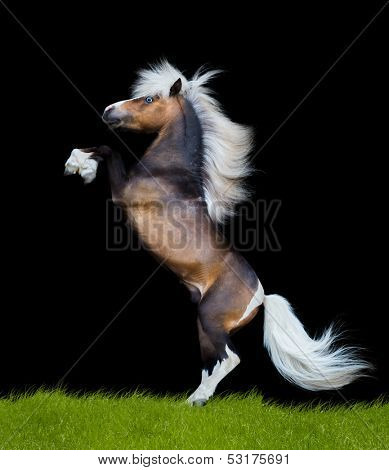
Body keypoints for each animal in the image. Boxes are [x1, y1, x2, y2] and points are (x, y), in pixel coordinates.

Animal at [66, 61, 370, 408]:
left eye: (149, 99)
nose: (108, 111)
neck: (168, 173)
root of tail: (261, 297)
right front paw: (81, 166)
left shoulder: (123, 193)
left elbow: (108, 149)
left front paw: (77, 166)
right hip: (204, 324)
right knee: (210, 362)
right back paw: (196, 400)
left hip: (209, 318)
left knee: (229, 358)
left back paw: (197, 399)